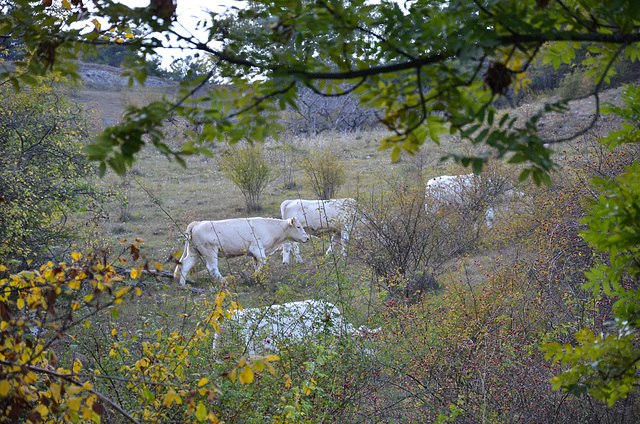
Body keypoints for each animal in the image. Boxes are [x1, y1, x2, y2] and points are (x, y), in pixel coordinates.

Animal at [172, 219, 308, 284]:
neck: (268, 228)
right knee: (212, 268)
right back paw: (225, 281)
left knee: (186, 264)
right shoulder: (258, 249)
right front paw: (254, 277)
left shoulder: (255, 254)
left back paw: (183, 284)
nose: (307, 238)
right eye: (298, 226)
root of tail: (196, 224)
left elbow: (257, 265)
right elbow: (262, 263)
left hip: (194, 252)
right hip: (210, 252)